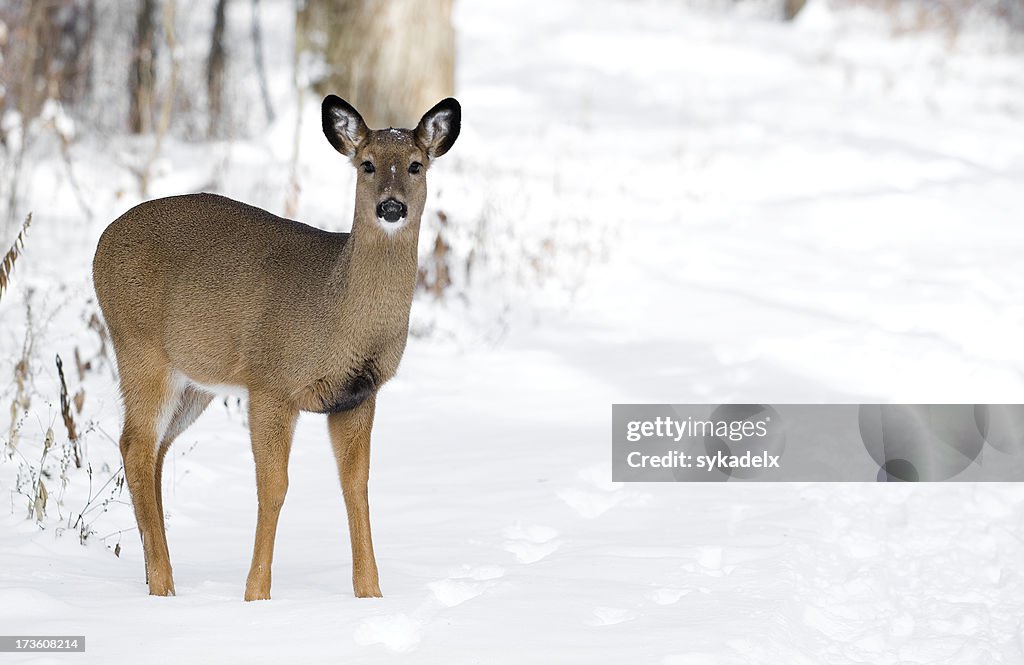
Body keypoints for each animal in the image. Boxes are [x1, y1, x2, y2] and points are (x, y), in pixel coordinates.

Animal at [94, 95, 462, 598]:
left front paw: (370, 593)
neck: (337, 312)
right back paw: (164, 585)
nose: (391, 206)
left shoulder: (357, 395)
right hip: (140, 349)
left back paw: (158, 577)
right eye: (366, 164)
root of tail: (100, 244)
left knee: (152, 452)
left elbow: (356, 486)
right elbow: (274, 489)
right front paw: (257, 594)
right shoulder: (271, 384)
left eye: (416, 165)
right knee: (136, 447)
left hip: (194, 381)